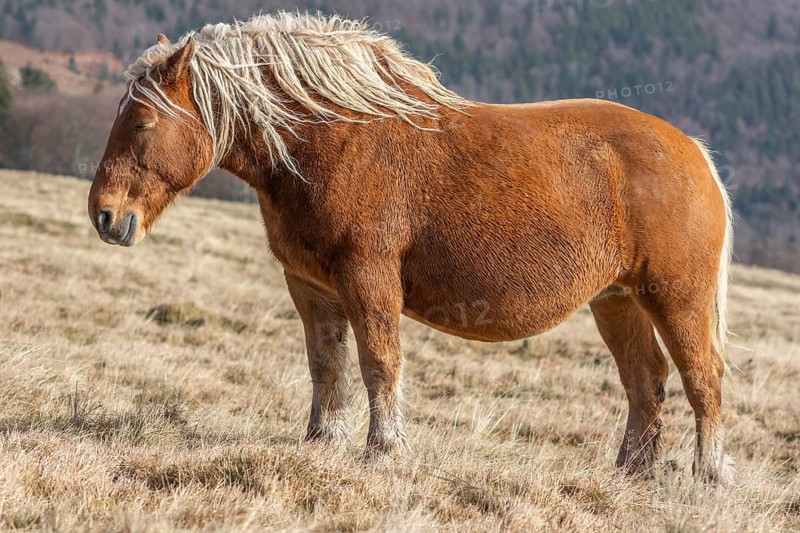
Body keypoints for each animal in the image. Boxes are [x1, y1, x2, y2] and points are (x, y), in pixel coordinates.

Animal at [88, 12, 734, 483]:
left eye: (142, 123)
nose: (105, 215)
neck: (331, 137)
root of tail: (695, 153)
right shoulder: (310, 286)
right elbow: (326, 365)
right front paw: (320, 442)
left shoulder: (368, 277)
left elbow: (379, 362)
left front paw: (383, 450)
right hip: (616, 300)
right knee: (645, 381)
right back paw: (632, 473)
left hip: (674, 298)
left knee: (703, 378)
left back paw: (707, 475)